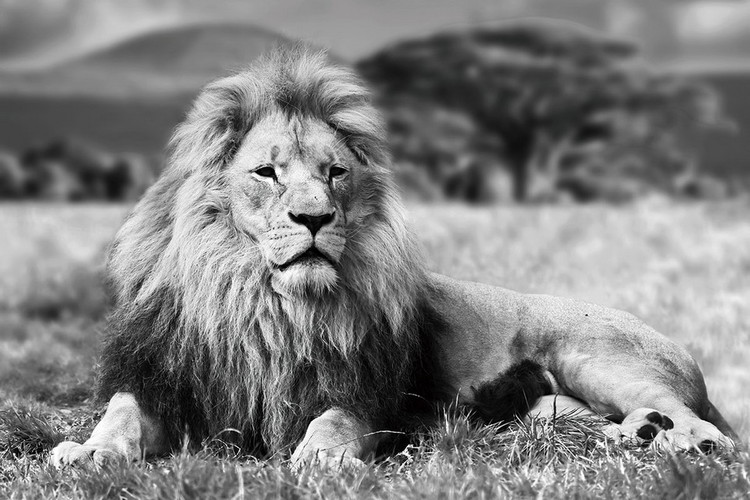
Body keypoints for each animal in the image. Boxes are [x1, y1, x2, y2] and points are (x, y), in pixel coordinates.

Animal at [50, 47, 736, 469]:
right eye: (267, 173)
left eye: (334, 173)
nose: (315, 219)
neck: (265, 303)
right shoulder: (163, 377)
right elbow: (120, 416)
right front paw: (86, 452)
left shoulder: (369, 393)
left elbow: (335, 420)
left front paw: (320, 456)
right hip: (552, 405)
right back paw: (636, 434)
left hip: (596, 357)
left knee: (704, 428)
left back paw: (672, 441)